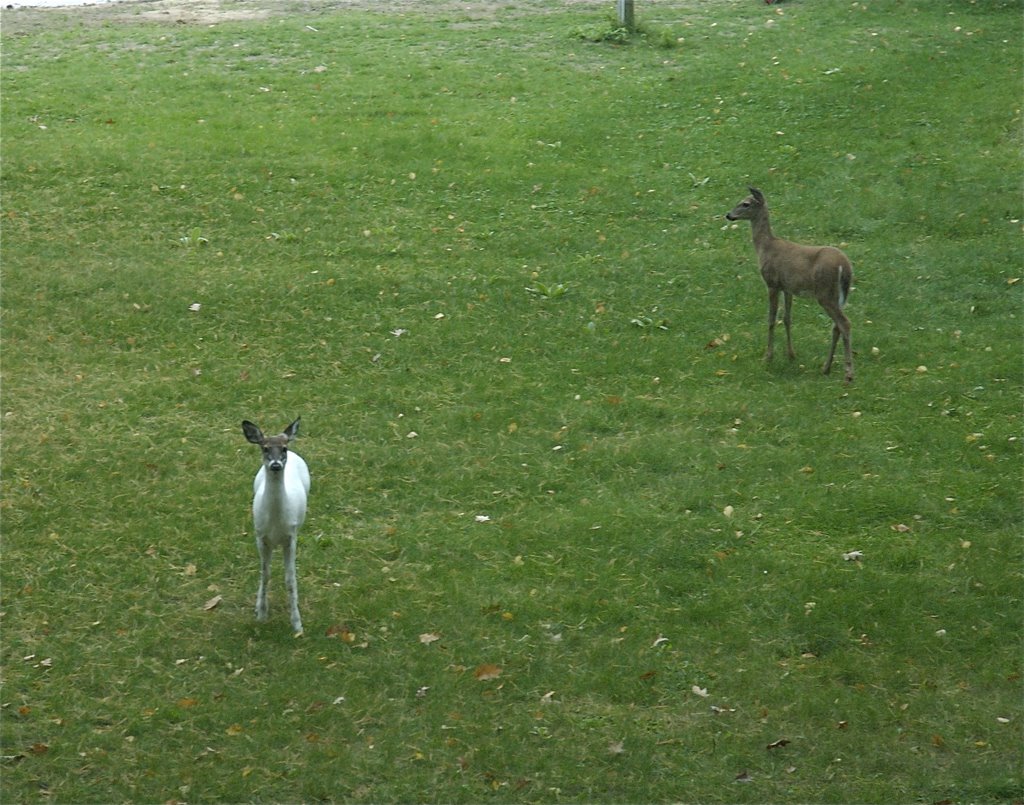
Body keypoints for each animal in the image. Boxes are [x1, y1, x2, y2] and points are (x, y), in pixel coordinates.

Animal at [241, 413, 309, 634]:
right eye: (264, 448)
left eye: (283, 448)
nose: (276, 465)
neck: (276, 522)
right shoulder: (260, 536)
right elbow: (265, 574)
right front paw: (261, 614)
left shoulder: (291, 536)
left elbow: (290, 579)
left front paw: (297, 624)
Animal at [729, 186, 856, 380]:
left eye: (745, 203)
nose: (728, 215)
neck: (765, 247)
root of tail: (845, 266)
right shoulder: (787, 287)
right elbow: (787, 318)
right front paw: (791, 354)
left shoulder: (772, 283)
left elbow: (771, 319)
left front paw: (768, 356)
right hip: (841, 295)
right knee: (836, 327)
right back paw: (826, 368)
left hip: (825, 293)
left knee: (845, 323)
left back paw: (848, 374)